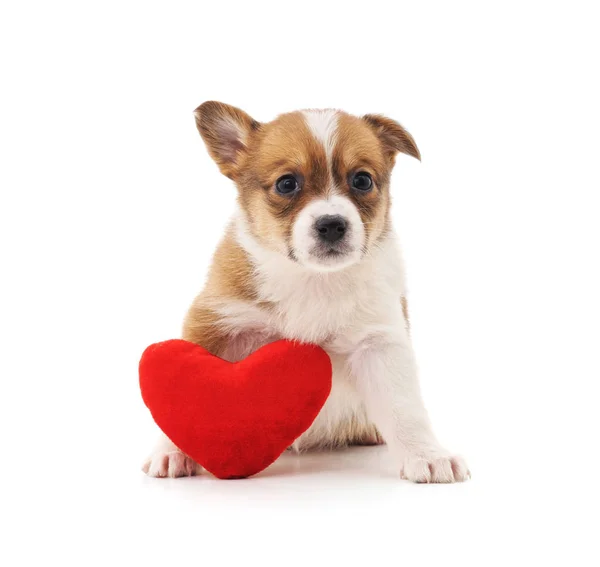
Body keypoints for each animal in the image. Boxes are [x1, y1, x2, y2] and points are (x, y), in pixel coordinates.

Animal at [143, 102, 472, 484]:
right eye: (287, 184)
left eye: (362, 180)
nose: (332, 225)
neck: (314, 279)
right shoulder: (216, 320)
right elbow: (179, 398)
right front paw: (172, 450)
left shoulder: (379, 342)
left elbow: (404, 408)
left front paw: (427, 455)